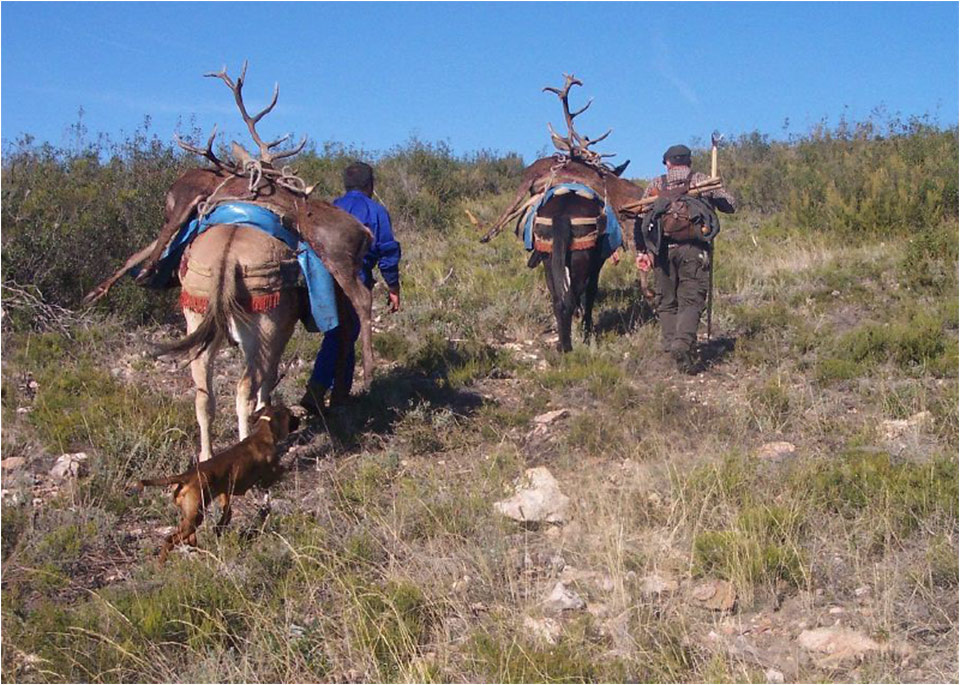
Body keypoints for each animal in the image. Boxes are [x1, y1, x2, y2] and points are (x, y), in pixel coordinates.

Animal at [131, 404, 296, 560]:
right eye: (291, 415)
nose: (299, 420)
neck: (262, 434)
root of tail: (186, 476)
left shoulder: (225, 491)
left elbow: (226, 513)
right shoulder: (268, 476)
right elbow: (280, 471)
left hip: (190, 515)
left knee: (189, 538)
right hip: (194, 517)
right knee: (170, 540)